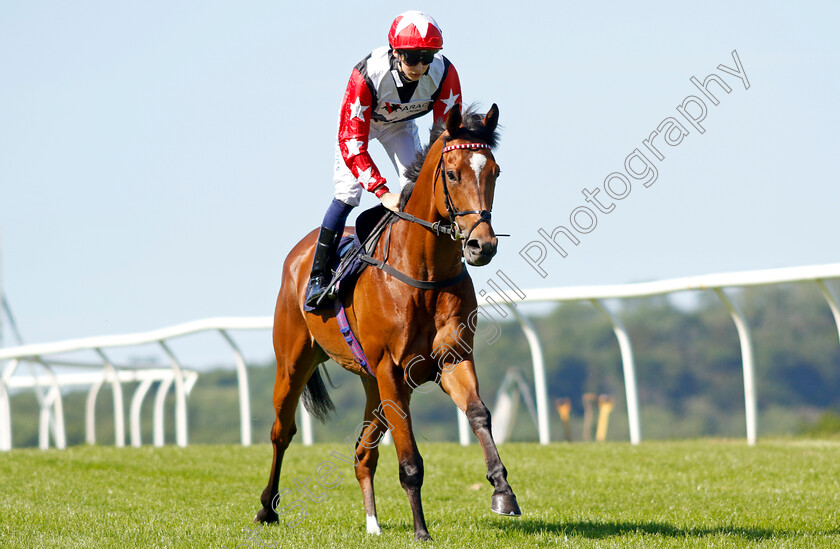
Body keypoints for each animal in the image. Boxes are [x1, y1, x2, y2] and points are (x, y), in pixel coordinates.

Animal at [253, 103, 520, 540]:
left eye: (495, 171)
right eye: (452, 174)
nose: (482, 245)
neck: (425, 271)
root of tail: (300, 251)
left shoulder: (451, 359)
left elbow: (480, 413)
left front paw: (503, 492)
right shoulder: (391, 371)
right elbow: (409, 459)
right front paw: (421, 530)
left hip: (370, 384)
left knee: (363, 452)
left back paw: (372, 523)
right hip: (294, 363)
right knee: (282, 432)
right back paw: (267, 509)